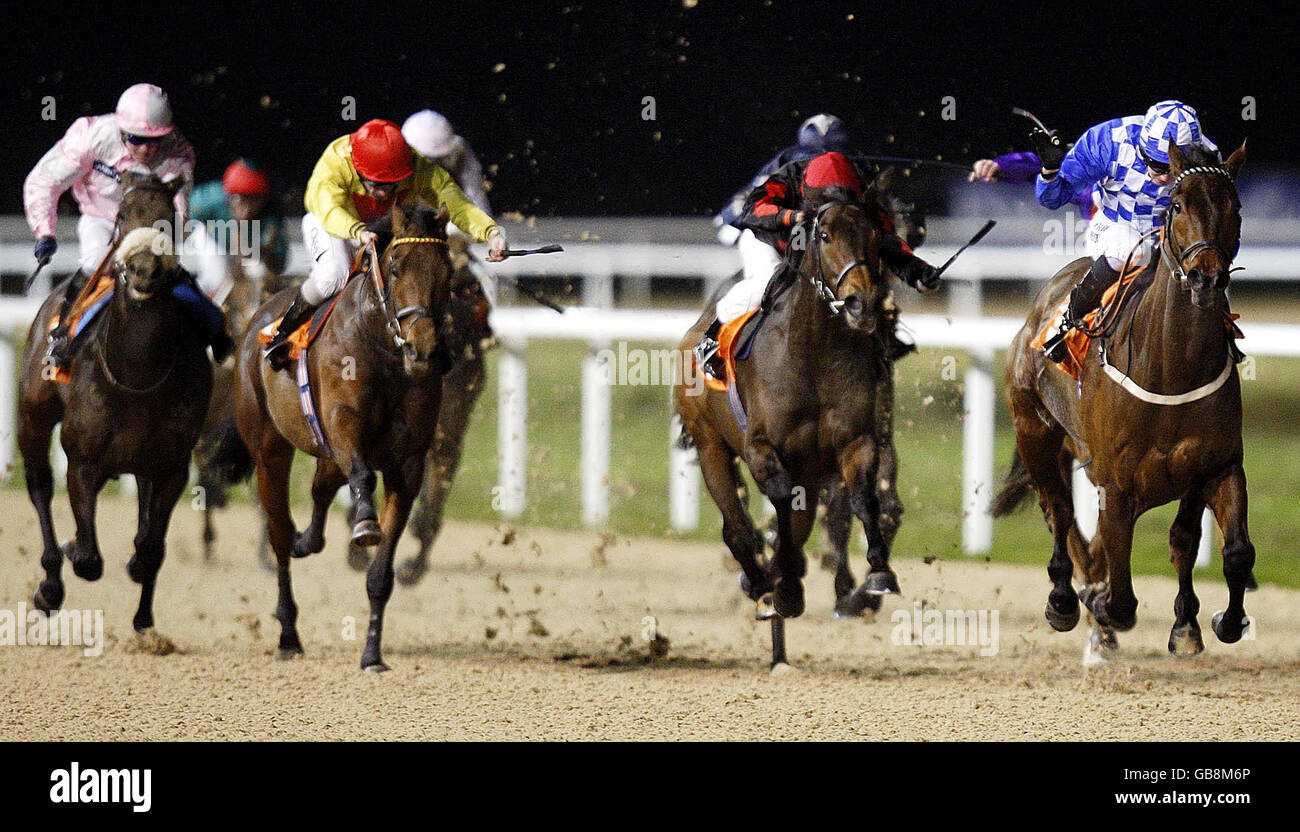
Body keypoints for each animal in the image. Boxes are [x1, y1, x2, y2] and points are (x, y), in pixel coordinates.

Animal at [16, 176, 214, 629]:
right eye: (122, 215)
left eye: (168, 217)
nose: (144, 269)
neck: (137, 373)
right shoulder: (82, 460)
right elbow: (88, 557)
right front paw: (72, 551)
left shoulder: (172, 466)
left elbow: (150, 548)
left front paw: (142, 602)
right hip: (33, 417)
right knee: (39, 486)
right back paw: (50, 583)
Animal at [231, 200, 454, 670]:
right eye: (396, 266)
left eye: (447, 273)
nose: (423, 350)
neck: (383, 348)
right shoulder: (343, 424)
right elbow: (363, 477)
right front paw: (365, 522)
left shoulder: (408, 463)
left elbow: (380, 575)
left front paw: (372, 653)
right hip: (269, 451)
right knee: (278, 533)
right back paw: (288, 633)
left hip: (325, 454)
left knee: (319, 491)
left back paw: (309, 540)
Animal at [676, 197, 899, 665]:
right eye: (826, 235)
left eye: (874, 236)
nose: (862, 303)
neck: (813, 352)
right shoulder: (762, 449)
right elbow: (776, 501)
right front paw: (785, 586)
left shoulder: (856, 441)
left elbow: (863, 498)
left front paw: (878, 572)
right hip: (709, 444)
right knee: (737, 530)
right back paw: (763, 585)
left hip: (809, 476)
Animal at [993, 144, 1248, 663]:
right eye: (1177, 206)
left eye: (1233, 207)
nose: (1206, 278)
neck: (1172, 367)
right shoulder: (1117, 486)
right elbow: (1123, 593)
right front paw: (1101, 607)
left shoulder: (1216, 466)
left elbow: (1222, 550)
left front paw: (1203, 623)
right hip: (1035, 432)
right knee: (1059, 512)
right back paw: (1065, 602)